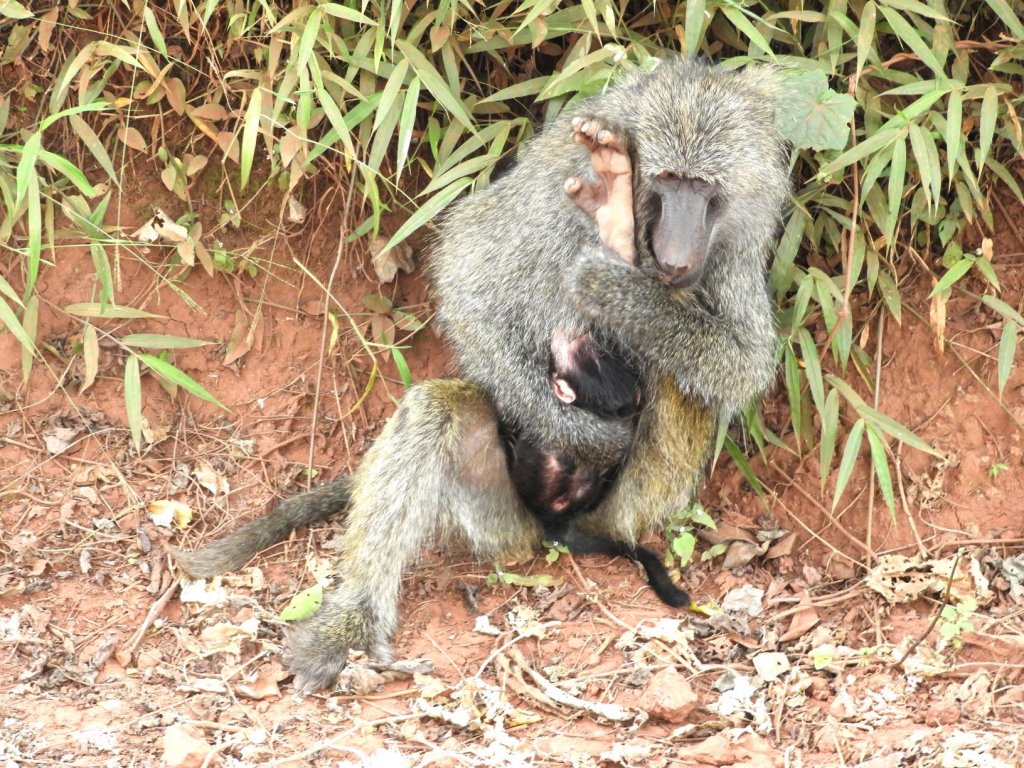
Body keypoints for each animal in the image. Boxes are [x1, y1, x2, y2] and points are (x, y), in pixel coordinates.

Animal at [173, 59, 790, 693]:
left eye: (703, 187)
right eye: (668, 180)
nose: (674, 256)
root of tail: (556, 529)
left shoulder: (738, 244)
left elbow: (742, 363)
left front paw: (616, 282)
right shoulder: (555, 180)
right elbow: (468, 280)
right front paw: (593, 430)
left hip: (625, 506)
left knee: (679, 384)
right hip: (498, 523)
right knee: (439, 409)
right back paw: (349, 624)